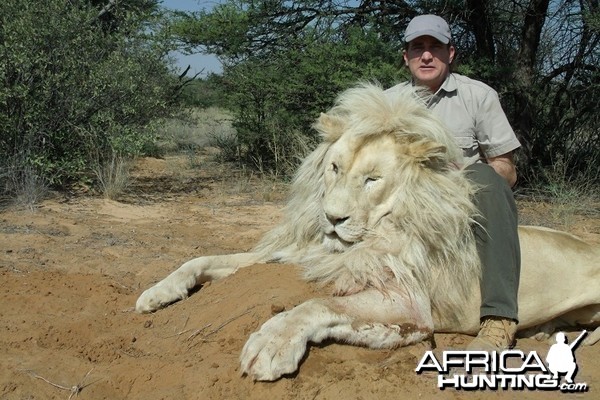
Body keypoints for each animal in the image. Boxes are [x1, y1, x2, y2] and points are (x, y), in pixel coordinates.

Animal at [136, 82, 600, 382]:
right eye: (334, 167)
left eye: (373, 180)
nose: (332, 218)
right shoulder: (299, 254)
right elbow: (202, 258)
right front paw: (156, 293)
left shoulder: (411, 303)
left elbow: (315, 304)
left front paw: (270, 345)